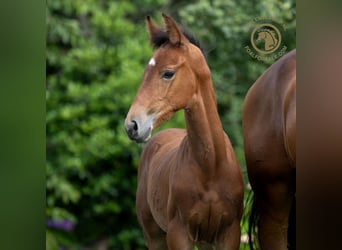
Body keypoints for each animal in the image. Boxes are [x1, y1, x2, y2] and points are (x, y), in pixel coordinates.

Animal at [124, 14, 244, 250]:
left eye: (168, 73)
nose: (132, 125)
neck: (211, 166)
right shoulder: (178, 234)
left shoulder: (229, 233)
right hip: (154, 235)